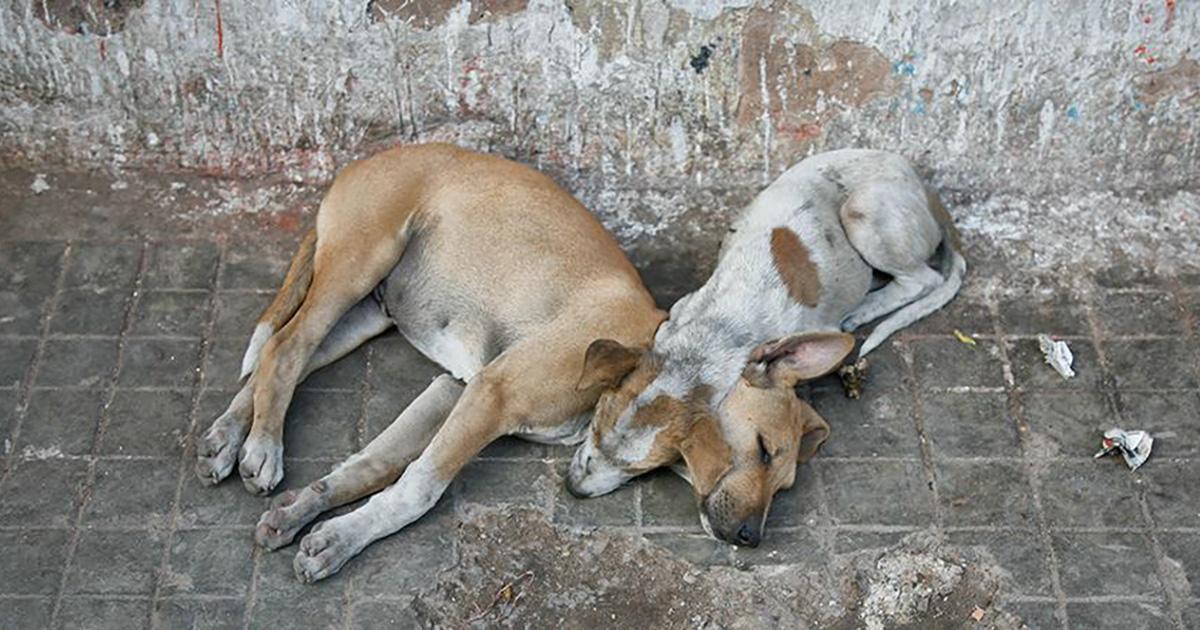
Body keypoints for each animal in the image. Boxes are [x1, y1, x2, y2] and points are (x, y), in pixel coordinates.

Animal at [196, 143, 667, 580]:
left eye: (642, 467)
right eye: (605, 432)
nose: (576, 490)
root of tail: (364, 162)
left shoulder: (455, 391)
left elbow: (372, 467)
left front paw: (309, 515)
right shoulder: (491, 394)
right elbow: (417, 490)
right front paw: (342, 537)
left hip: (364, 317)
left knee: (280, 358)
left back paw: (225, 437)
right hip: (358, 264)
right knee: (284, 348)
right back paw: (262, 447)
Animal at [566, 148, 969, 544]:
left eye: (641, 468)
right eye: (596, 426)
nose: (573, 489)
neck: (722, 329)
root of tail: (924, 186)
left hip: (863, 211)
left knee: (924, 280)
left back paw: (866, 308)